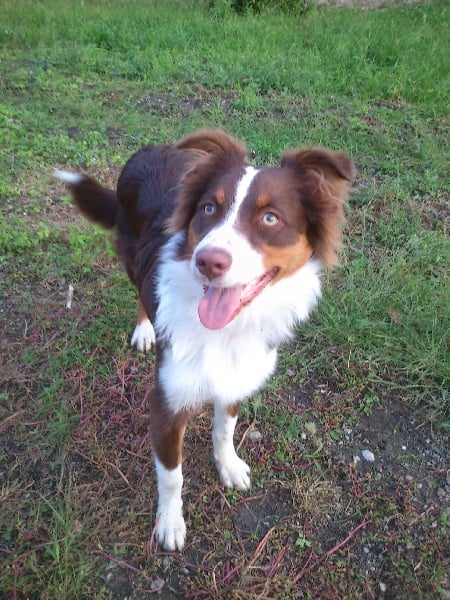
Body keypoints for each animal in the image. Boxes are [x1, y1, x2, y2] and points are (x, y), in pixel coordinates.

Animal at [54, 129, 354, 552]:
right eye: (209, 209)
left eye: (270, 218)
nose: (208, 262)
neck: (225, 330)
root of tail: (152, 148)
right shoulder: (165, 402)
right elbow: (171, 476)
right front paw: (170, 523)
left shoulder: (237, 379)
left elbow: (224, 429)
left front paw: (228, 466)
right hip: (131, 256)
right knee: (140, 291)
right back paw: (145, 328)